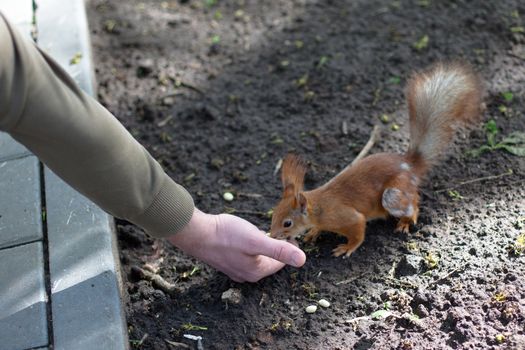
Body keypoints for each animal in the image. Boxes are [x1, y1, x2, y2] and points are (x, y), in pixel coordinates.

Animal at [272, 61, 482, 256]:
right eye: (273, 214)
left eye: (287, 223)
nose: (272, 235)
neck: (318, 208)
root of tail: (410, 165)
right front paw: (313, 232)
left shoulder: (348, 217)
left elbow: (358, 233)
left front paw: (347, 247)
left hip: (393, 195)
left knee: (414, 206)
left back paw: (405, 222)